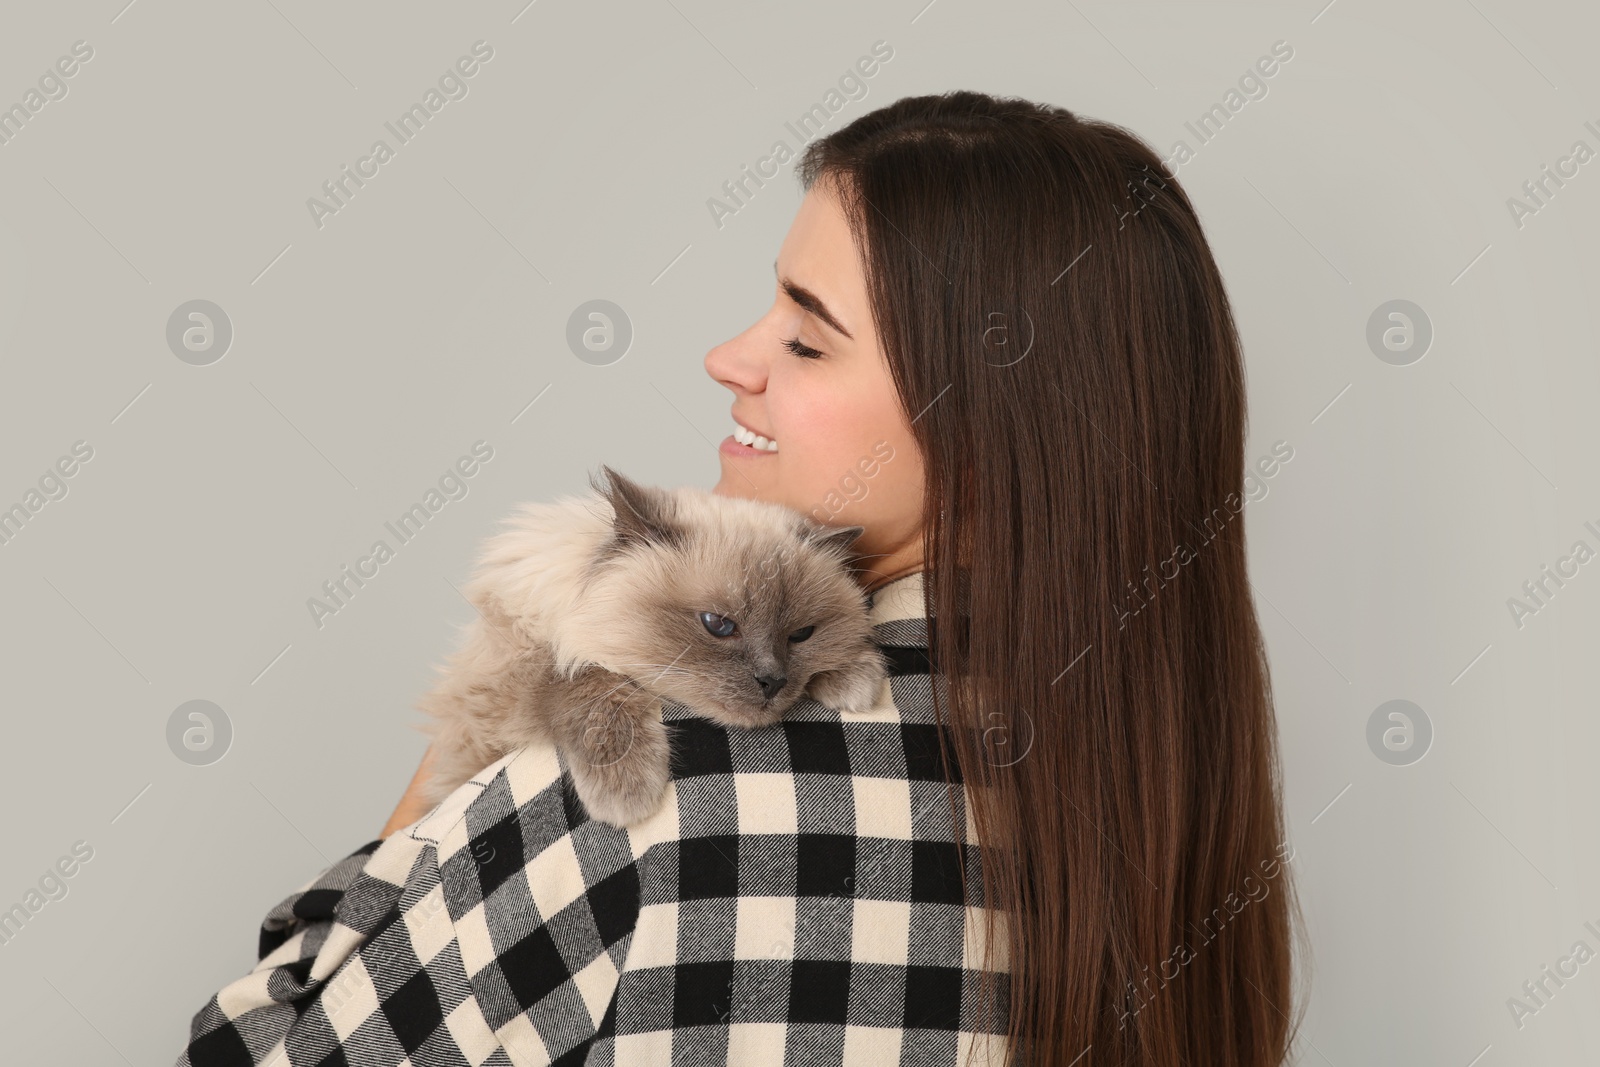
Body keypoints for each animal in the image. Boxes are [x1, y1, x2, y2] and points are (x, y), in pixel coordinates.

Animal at [412, 463, 889, 825]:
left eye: (801, 635)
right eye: (718, 625)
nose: (772, 681)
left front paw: (852, 678)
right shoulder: (508, 684)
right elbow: (587, 681)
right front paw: (627, 794)